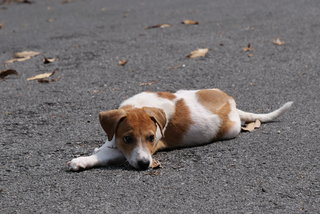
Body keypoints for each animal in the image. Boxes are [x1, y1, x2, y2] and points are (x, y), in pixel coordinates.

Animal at [67, 88, 292, 171]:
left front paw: (82, 160)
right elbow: (108, 142)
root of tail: (233, 106)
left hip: (230, 130)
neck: (138, 106)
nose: (145, 164)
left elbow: (105, 155)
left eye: (151, 138)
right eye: (128, 139)